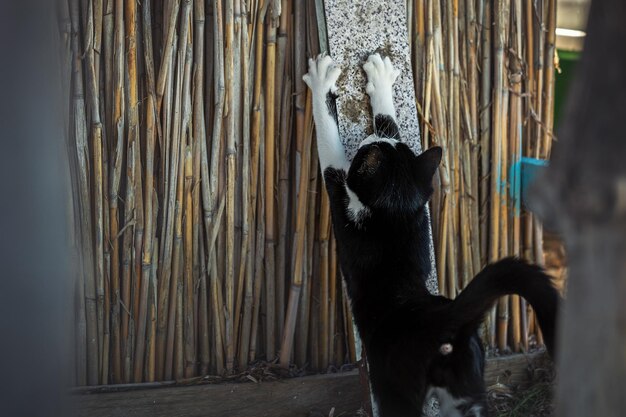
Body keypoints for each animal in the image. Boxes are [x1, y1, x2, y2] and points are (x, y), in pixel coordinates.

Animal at [302, 54, 556, 416]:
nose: (369, 138)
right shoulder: (420, 204)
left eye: (365, 151)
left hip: (396, 388)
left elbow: (331, 150)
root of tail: (445, 319)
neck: (395, 214)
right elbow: (392, 121)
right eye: (376, 142)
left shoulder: (345, 201)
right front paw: (381, 78)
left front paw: (322, 81)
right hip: (466, 388)